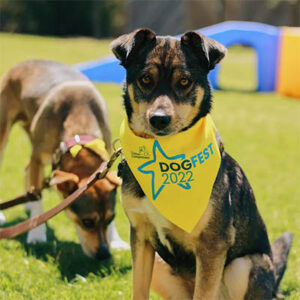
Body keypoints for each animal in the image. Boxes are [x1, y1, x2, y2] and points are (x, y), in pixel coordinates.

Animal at [0, 59, 129, 258]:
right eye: (87, 222)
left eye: (110, 219)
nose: (104, 255)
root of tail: (28, 61)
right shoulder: (39, 158)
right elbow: (37, 194)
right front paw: (36, 234)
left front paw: (116, 240)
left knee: (27, 168)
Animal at [110, 28, 292, 300]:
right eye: (146, 79)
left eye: (184, 82)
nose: (159, 119)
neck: (167, 157)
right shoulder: (141, 236)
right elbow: (138, 290)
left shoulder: (212, 245)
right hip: (161, 266)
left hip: (244, 265)